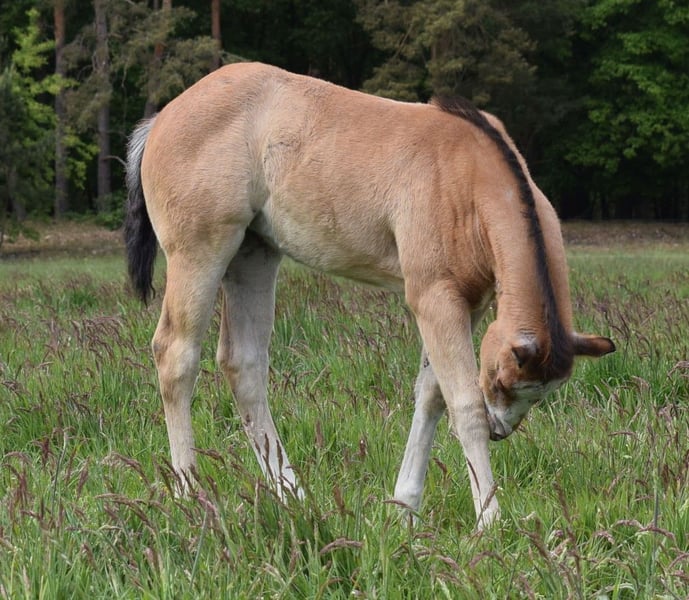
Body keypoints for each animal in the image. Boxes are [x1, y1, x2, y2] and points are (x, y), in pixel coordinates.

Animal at [124, 62, 614, 529]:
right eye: (502, 381)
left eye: (541, 395)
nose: (500, 431)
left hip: (254, 253)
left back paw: (294, 497)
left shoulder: (468, 305)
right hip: (201, 251)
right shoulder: (434, 298)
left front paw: (405, 508)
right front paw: (490, 522)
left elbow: (431, 395)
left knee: (243, 365)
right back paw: (190, 494)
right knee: (176, 355)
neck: (468, 176)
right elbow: (463, 406)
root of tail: (162, 117)